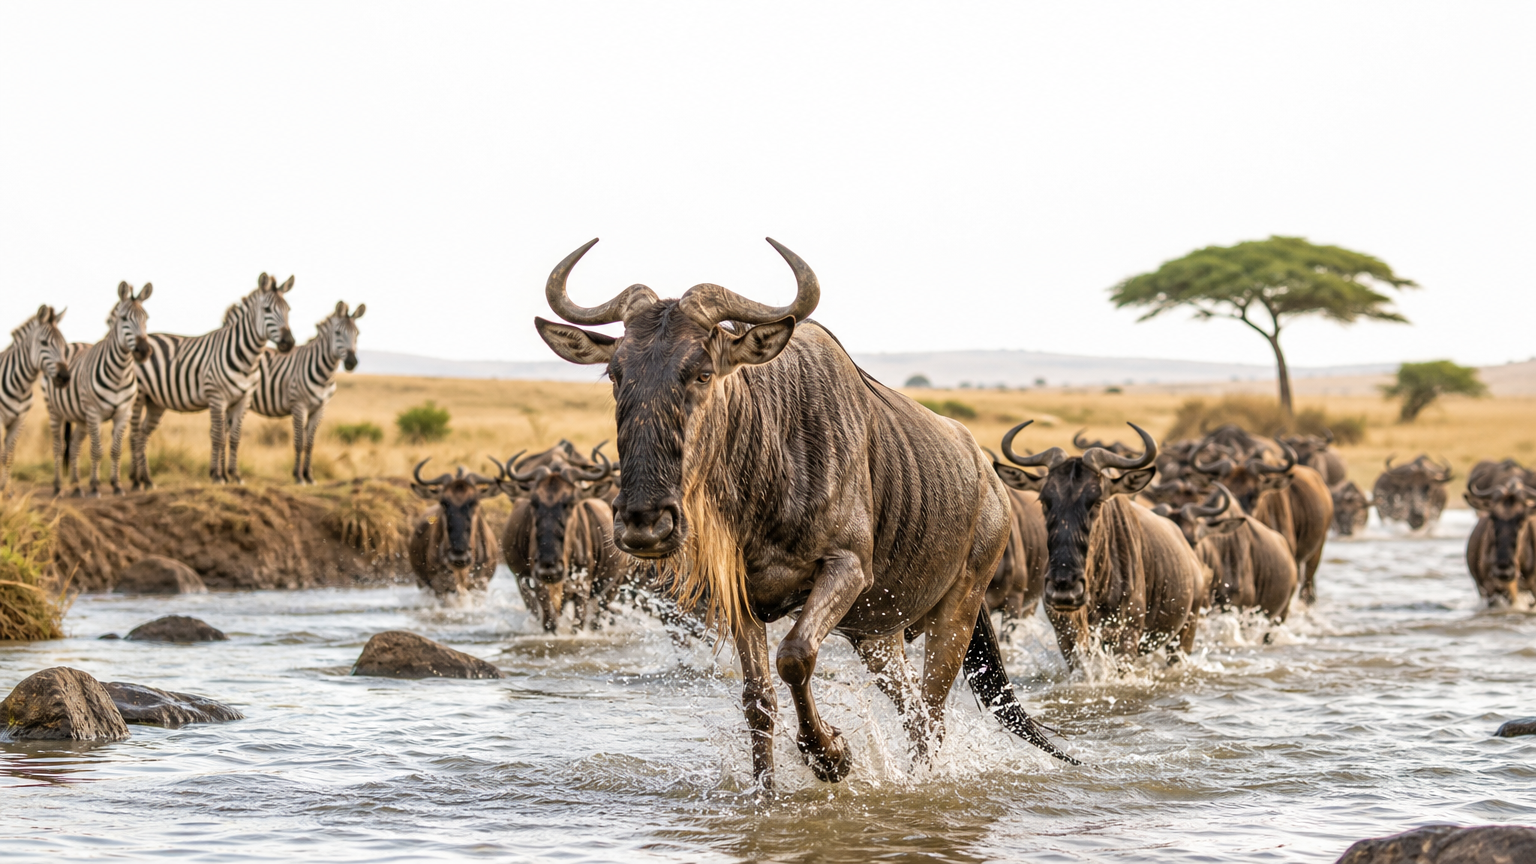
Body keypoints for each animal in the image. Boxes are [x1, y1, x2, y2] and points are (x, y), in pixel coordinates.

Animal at [0, 305, 71, 494]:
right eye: (44, 343)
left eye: (64, 346)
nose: (64, 377)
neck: (20, 386)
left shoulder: (19, 420)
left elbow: (8, 456)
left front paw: (6, 489)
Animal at [42, 282, 152, 496]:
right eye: (124, 318)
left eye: (146, 318)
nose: (143, 351)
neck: (119, 374)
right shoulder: (94, 413)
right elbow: (96, 450)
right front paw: (94, 486)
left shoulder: (123, 413)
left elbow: (116, 450)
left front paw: (116, 485)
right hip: (55, 410)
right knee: (59, 445)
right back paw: (58, 486)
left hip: (80, 417)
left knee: (74, 445)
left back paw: (77, 486)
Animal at [129, 272, 296, 489]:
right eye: (267, 309)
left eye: (288, 310)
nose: (289, 343)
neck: (247, 359)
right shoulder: (217, 397)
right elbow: (217, 436)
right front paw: (217, 476)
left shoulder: (243, 400)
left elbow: (234, 437)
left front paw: (234, 475)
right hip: (138, 395)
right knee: (133, 433)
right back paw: (134, 480)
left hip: (156, 401)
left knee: (142, 434)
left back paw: (146, 480)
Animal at [239, 300, 366, 484]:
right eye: (337, 333)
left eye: (357, 333)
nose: (351, 362)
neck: (325, 373)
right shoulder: (299, 406)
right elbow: (299, 442)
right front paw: (298, 476)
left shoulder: (319, 409)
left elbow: (310, 443)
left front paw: (309, 476)